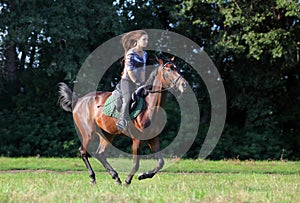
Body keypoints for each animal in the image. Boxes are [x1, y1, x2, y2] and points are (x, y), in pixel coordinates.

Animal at [57, 56, 186, 184]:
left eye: (177, 68)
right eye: (169, 70)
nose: (184, 84)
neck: (150, 107)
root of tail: (78, 100)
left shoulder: (153, 138)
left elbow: (160, 162)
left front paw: (143, 175)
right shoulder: (137, 139)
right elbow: (136, 163)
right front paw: (128, 180)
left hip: (107, 134)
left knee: (100, 154)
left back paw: (116, 177)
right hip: (88, 133)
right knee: (83, 152)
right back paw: (93, 177)